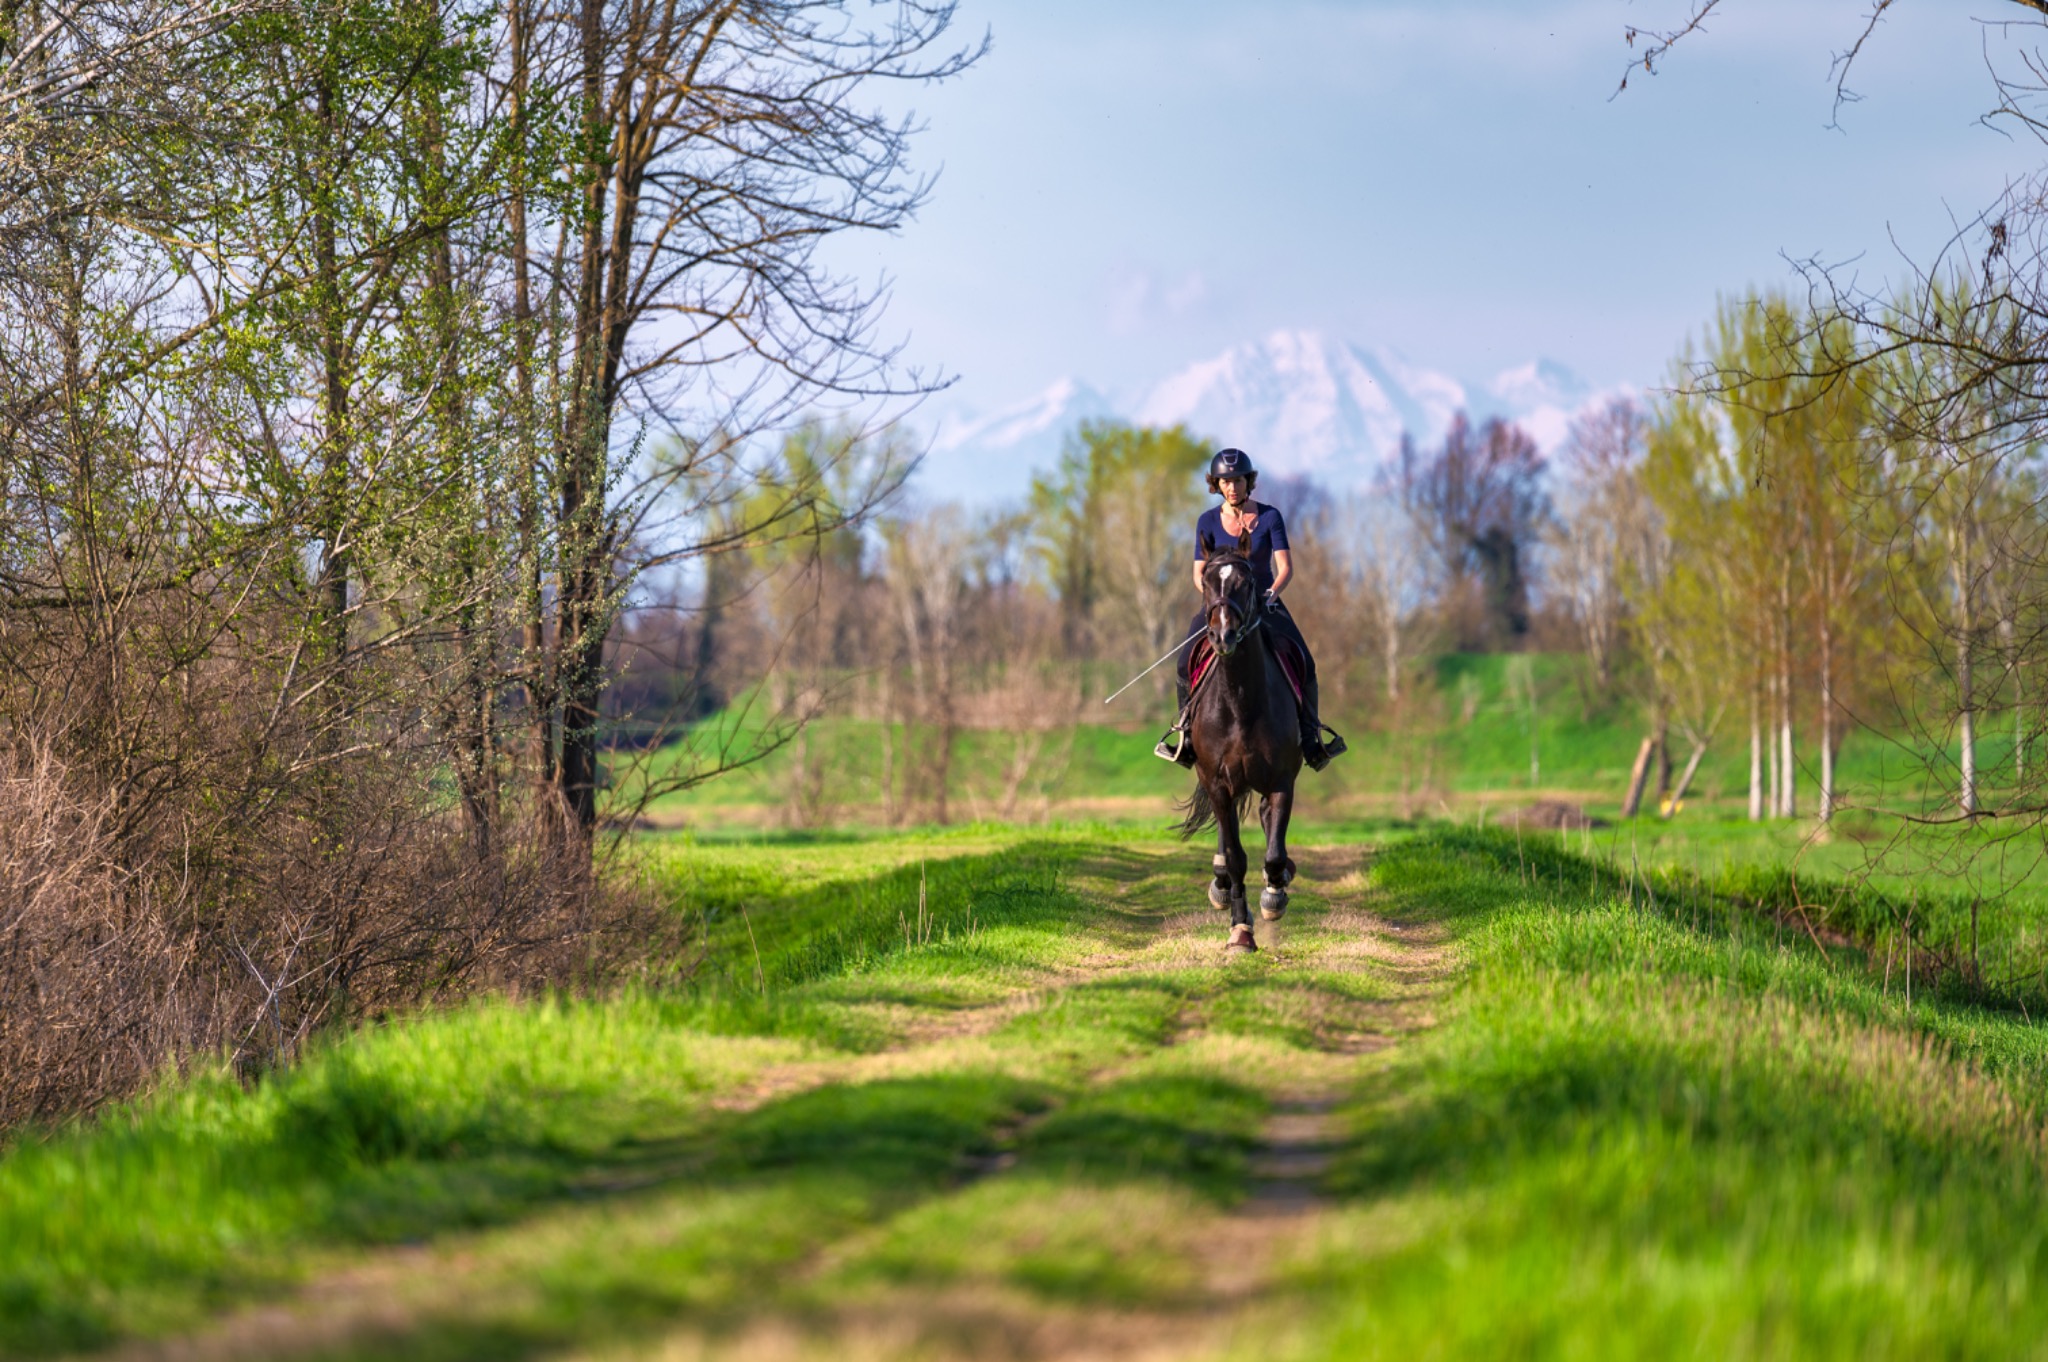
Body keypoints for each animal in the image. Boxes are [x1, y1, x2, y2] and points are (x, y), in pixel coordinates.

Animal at [1177, 531, 1301, 954]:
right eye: (1206, 582)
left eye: (1246, 583)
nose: (1223, 635)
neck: (1240, 701)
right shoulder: (1217, 782)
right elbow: (1234, 858)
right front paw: (1240, 929)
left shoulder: (1281, 781)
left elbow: (1275, 854)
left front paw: (1273, 897)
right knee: (1226, 838)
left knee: (1266, 824)